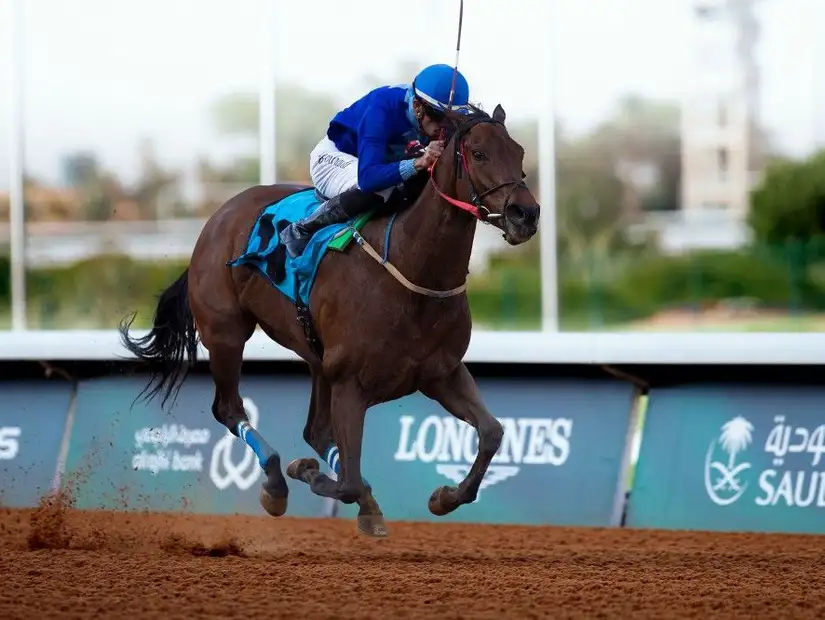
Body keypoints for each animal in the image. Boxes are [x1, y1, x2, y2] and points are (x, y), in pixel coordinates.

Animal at [117, 103, 540, 536]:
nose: (526, 213)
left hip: (317, 358)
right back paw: (276, 482)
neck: (412, 269)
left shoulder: (442, 373)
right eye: (479, 153)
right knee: (230, 409)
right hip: (226, 334)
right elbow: (348, 482)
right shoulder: (351, 381)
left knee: (315, 431)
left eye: (519, 152)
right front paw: (307, 473)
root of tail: (218, 217)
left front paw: (444, 498)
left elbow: (492, 432)